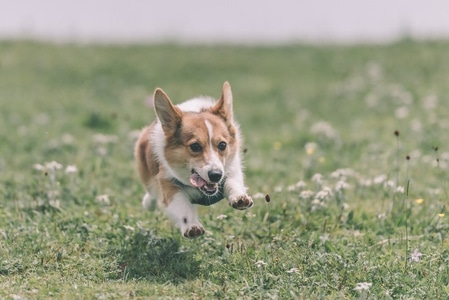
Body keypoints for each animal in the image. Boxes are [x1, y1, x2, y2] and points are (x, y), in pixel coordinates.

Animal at [134, 81, 252, 237]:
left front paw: (240, 198)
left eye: (222, 145)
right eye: (195, 146)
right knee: (152, 192)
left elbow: (233, 182)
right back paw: (148, 203)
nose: (215, 175)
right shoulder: (169, 183)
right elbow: (183, 206)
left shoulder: (232, 169)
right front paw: (192, 226)